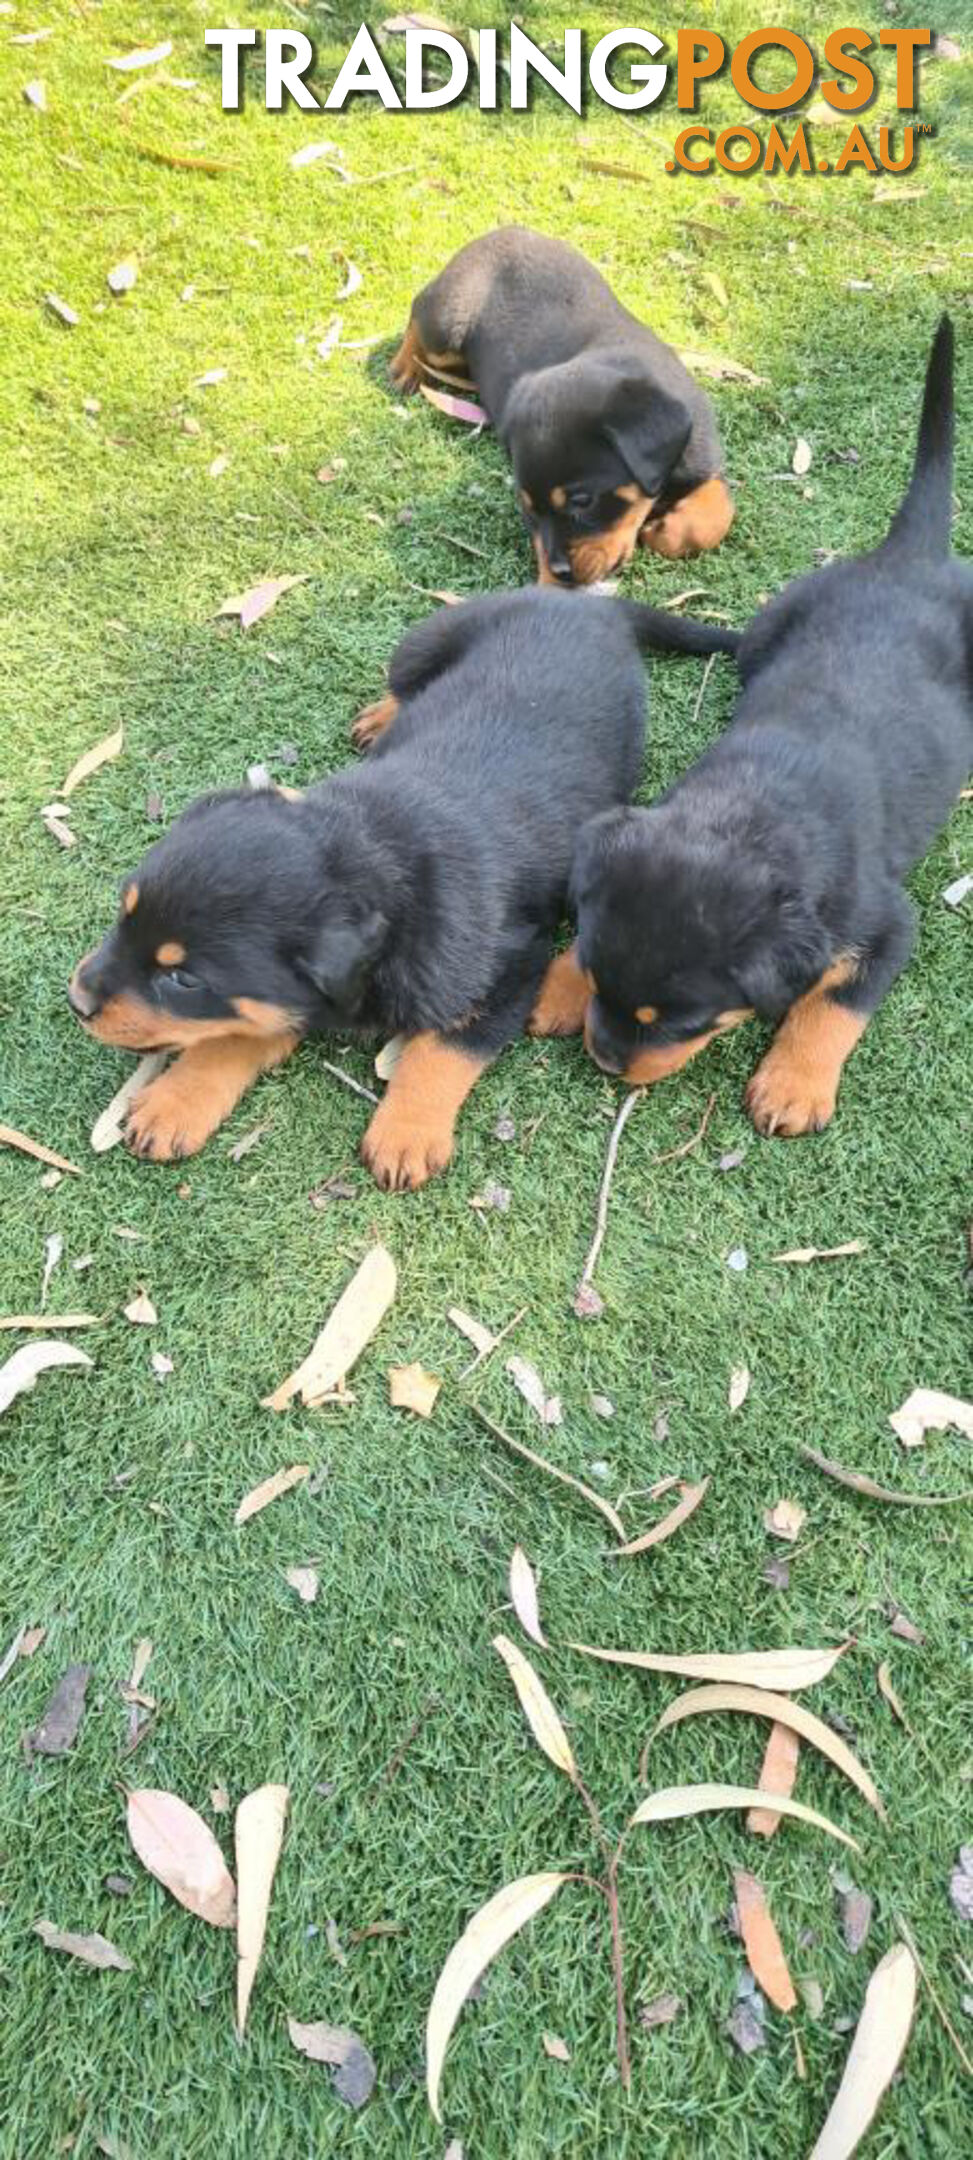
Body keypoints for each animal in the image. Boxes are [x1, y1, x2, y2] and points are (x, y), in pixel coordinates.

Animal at [68, 591, 739, 1192]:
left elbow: (446, 1048)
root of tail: (591, 602)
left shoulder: (511, 966)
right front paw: (175, 1100)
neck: (371, 850)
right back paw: (380, 716)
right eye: (123, 913)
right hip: (425, 640)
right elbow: (238, 1030)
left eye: (182, 979)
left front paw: (407, 1134)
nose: (77, 1000)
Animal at [391, 223, 735, 587]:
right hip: (448, 323)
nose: (561, 573)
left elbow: (718, 510)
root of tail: (500, 231)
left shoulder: (702, 458)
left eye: (583, 500)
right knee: (417, 311)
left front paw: (666, 531)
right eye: (527, 508)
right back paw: (404, 368)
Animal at [531, 315, 972, 1149]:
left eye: (677, 1021)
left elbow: (831, 1004)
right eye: (600, 978)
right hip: (772, 619)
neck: (746, 816)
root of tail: (909, 557)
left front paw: (791, 1086)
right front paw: (557, 986)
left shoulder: (885, 922)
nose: (604, 1059)